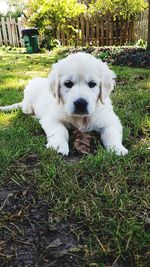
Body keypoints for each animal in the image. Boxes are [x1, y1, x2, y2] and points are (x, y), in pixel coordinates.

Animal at [0, 52, 128, 156]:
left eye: (92, 84)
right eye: (68, 83)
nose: (80, 103)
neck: (81, 118)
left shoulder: (111, 121)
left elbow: (112, 133)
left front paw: (117, 148)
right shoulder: (52, 119)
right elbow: (60, 130)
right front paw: (58, 145)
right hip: (27, 106)